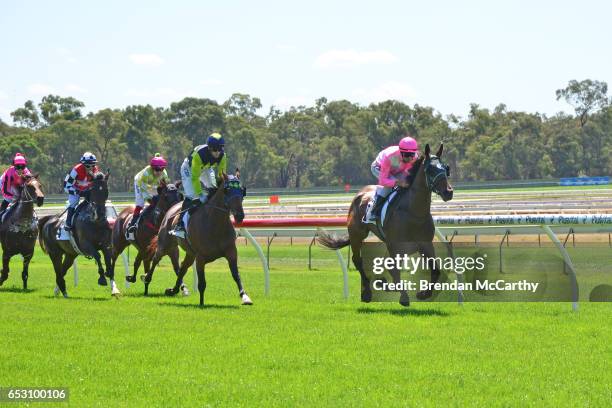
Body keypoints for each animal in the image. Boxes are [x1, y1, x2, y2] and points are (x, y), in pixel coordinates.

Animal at [318, 143, 452, 306]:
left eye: (445, 168)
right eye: (430, 170)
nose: (448, 192)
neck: (414, 213)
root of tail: (359, 194)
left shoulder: (424, 244)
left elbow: (435, 270)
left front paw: (424, 293)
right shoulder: (394, 245)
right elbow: (394, 270)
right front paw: (403, 296)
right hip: (357, 235)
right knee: (358, 260)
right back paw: (367, 292)